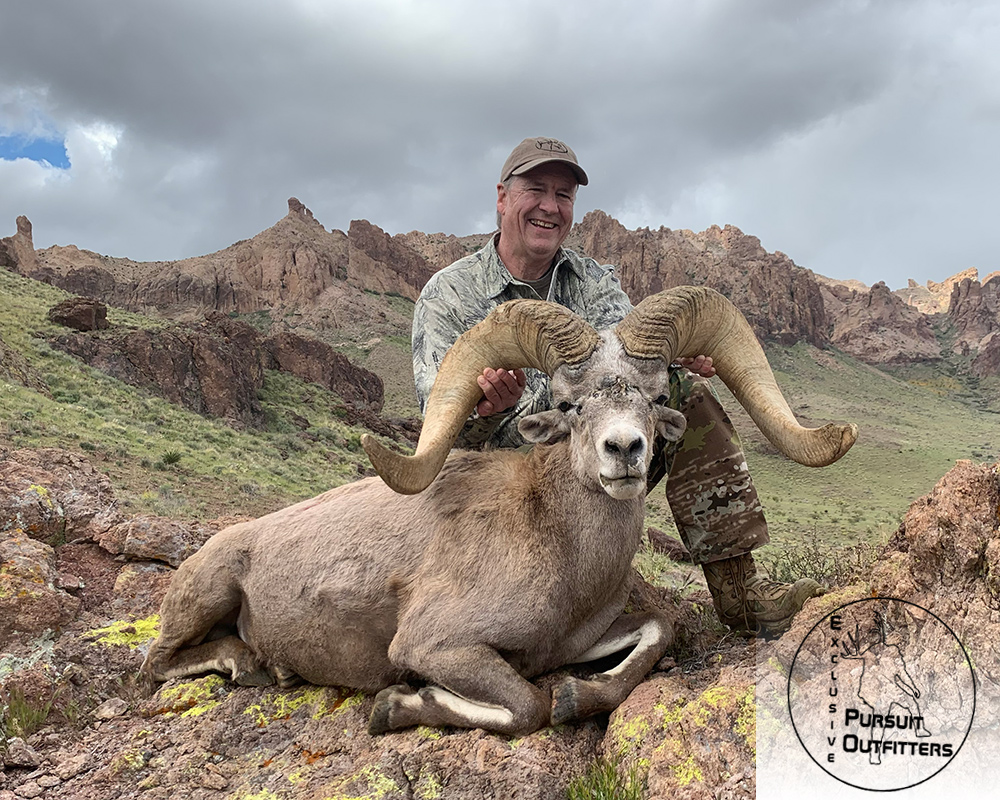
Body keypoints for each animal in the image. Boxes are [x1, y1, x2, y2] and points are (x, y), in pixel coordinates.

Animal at [145, 288, 856, 736]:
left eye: (656, 398)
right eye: (569, 405)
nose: (624, 450)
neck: (559, 551)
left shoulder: (577, 641)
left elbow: (655, 633)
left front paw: (578, 694)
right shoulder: (438, 645)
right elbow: (527, 707)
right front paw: (398, 705)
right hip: (205, 593)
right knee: (154, 664)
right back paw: (246, 664)